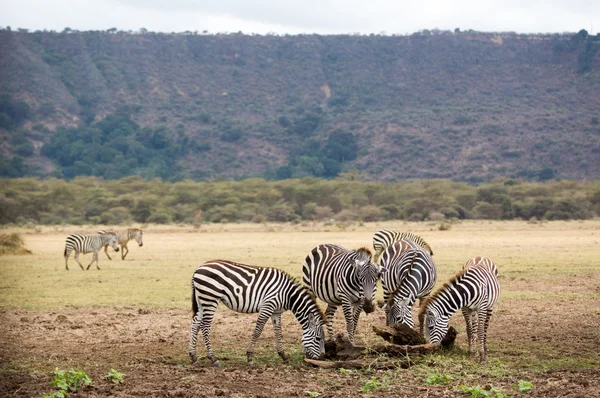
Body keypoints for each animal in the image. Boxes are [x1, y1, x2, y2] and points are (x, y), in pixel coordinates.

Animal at [190, 258, 326, 366]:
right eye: (318, 338)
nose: (322, 358)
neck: (288, 294)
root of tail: (198, 268)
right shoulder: (267, 306)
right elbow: (258, 331)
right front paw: (250, 357)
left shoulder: (276, 311)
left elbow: (278, 332)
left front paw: (283, 355)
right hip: (210, 298)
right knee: (205, 326)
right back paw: (213, 358)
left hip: (202, 300)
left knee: (195, 323)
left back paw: (193, 356)